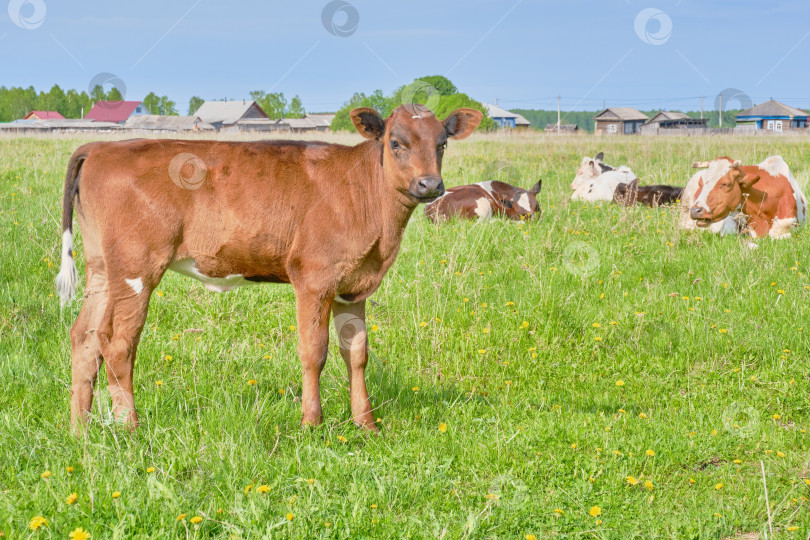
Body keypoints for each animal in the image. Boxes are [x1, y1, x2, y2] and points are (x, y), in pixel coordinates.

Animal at [56, 104, 482, 434]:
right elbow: (314, 351)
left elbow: (357, 353)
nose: (430, 185)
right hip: (137, 266)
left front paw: (366, 424)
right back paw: (129, 427)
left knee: (84, 337)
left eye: (442, 143)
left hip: (102, 269)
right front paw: (312, 423)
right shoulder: (314, 278)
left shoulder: (354, 285)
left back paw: (80, 430)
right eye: (395, 142)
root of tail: (102, 147)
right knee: (118, 342)